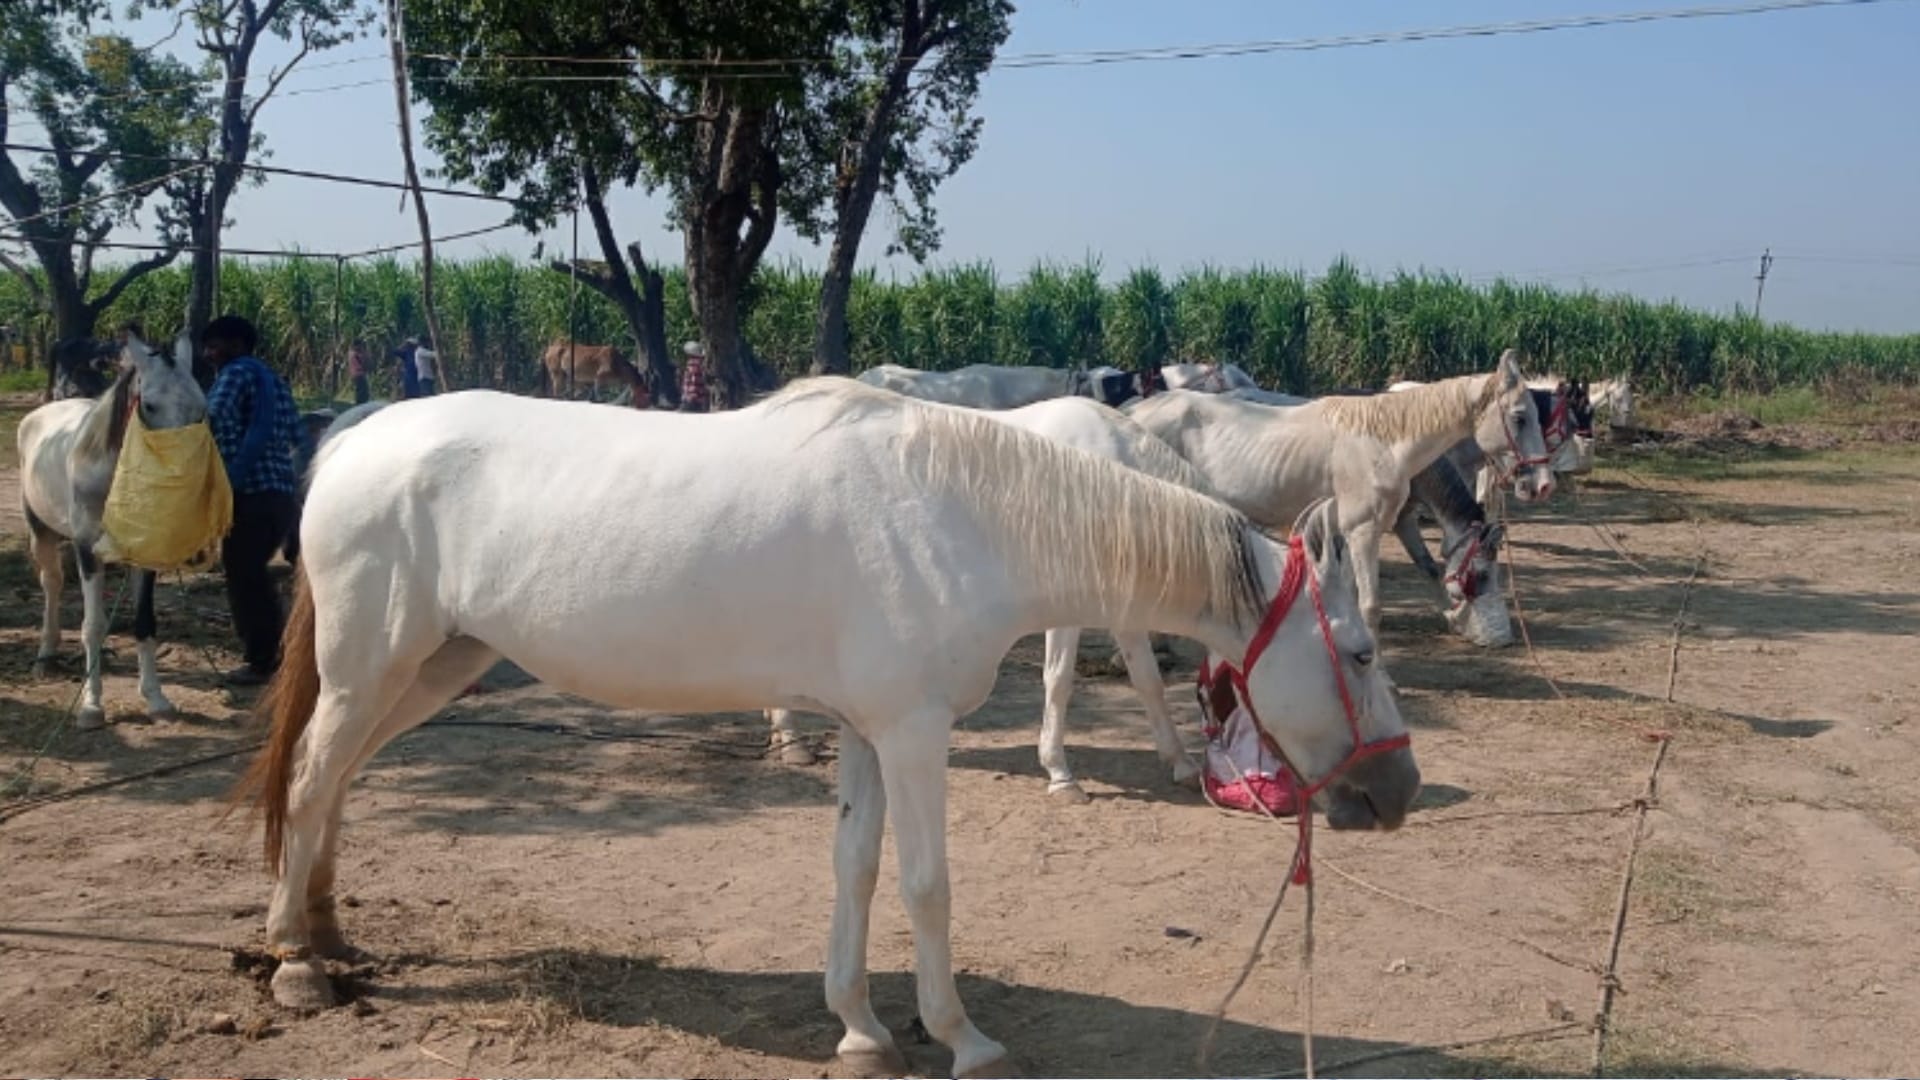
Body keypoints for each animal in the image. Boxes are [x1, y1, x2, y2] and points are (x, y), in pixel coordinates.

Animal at [18, 332, 209, 727]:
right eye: (149, 405)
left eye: (201, 409)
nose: (181, 478)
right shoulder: (87, 547)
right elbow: (91, 625)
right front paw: (92, 706)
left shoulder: (145, 551)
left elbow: (144, 622)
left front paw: (156, 699)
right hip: (40, 530)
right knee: (52, 583)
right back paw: (46, 655)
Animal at [232, 378, 1419, 1076]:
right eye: (1362, 654)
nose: (1397, 793)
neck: (964, 515)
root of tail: (356, 436)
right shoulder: (914, 731)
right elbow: (926, 884)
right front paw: (962, 1038)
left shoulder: (865, 728)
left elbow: (856, 866)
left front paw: (858, 1026)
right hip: (373, 666)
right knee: (310, 779)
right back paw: (293, 963)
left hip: (435, 666)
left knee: (335, 784)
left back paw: (328, 935)